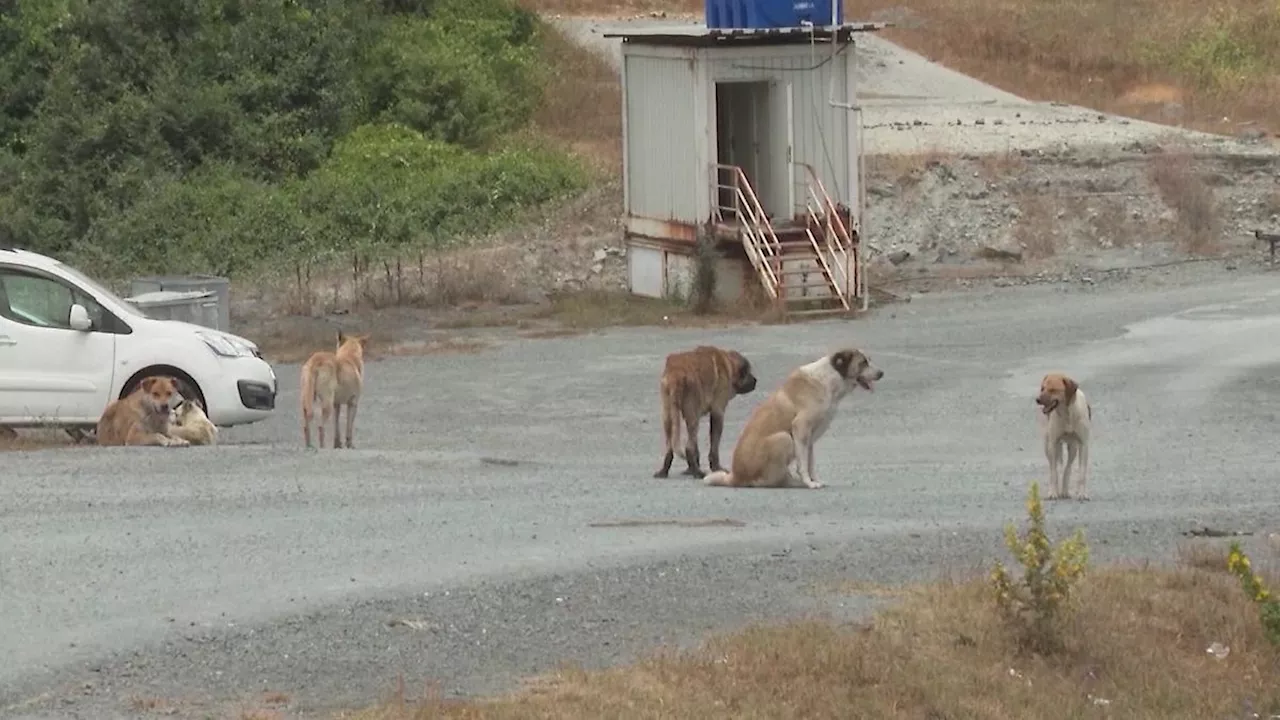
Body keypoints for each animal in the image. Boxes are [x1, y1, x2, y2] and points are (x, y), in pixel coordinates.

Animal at [655, 345, 752, 479]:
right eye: (748, 372)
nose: (755, 380)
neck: (727, 364)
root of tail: (676, 372)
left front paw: (690, 469)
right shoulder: (717, 413)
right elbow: (714, 447)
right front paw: (716, 467)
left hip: (668, 414)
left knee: (670, 447)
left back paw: (665, 470)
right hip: (692, 415)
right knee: (689, 447)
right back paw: (698, 473)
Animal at [706, 345, 885, 486]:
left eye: (869, 360)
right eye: (863, 363)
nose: (882, 373)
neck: (829, 379)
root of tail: (735, 476)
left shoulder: (810, 437)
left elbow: (810, 462)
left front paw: (815, 480)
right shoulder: (800, 428)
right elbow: (803, 463)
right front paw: (809, 483)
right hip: (784, 438)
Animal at [1029, 368, 1090, 499]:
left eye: (1053, 389)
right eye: (1042, 388)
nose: (1037, 400)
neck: (1067, 415)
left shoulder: (1083, 445)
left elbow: (1082, 473)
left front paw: (1082, 494)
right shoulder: (1053, 443)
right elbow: (1054, 472)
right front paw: (1053, 492)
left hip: (1073, 447)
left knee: (1067, 467)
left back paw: (1065, 491)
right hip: (1048, 445)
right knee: (1057, 467)